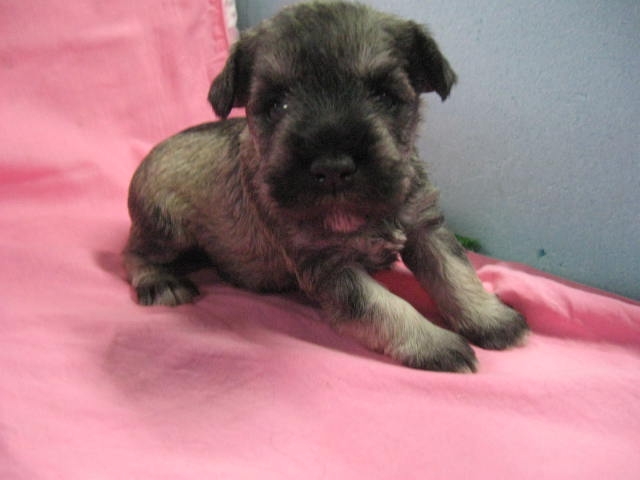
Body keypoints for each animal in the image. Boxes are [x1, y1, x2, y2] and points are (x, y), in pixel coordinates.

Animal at [123, 1, 528, 372]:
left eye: (383, 95)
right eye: (277, 104)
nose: (332, 169)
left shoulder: (425, 227)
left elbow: (455, 273)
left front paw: (494, 319)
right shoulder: (330, 266)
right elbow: (383, 306)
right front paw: (434, 343)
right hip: (167, 227)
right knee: (133, 253)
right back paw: (161, 281)